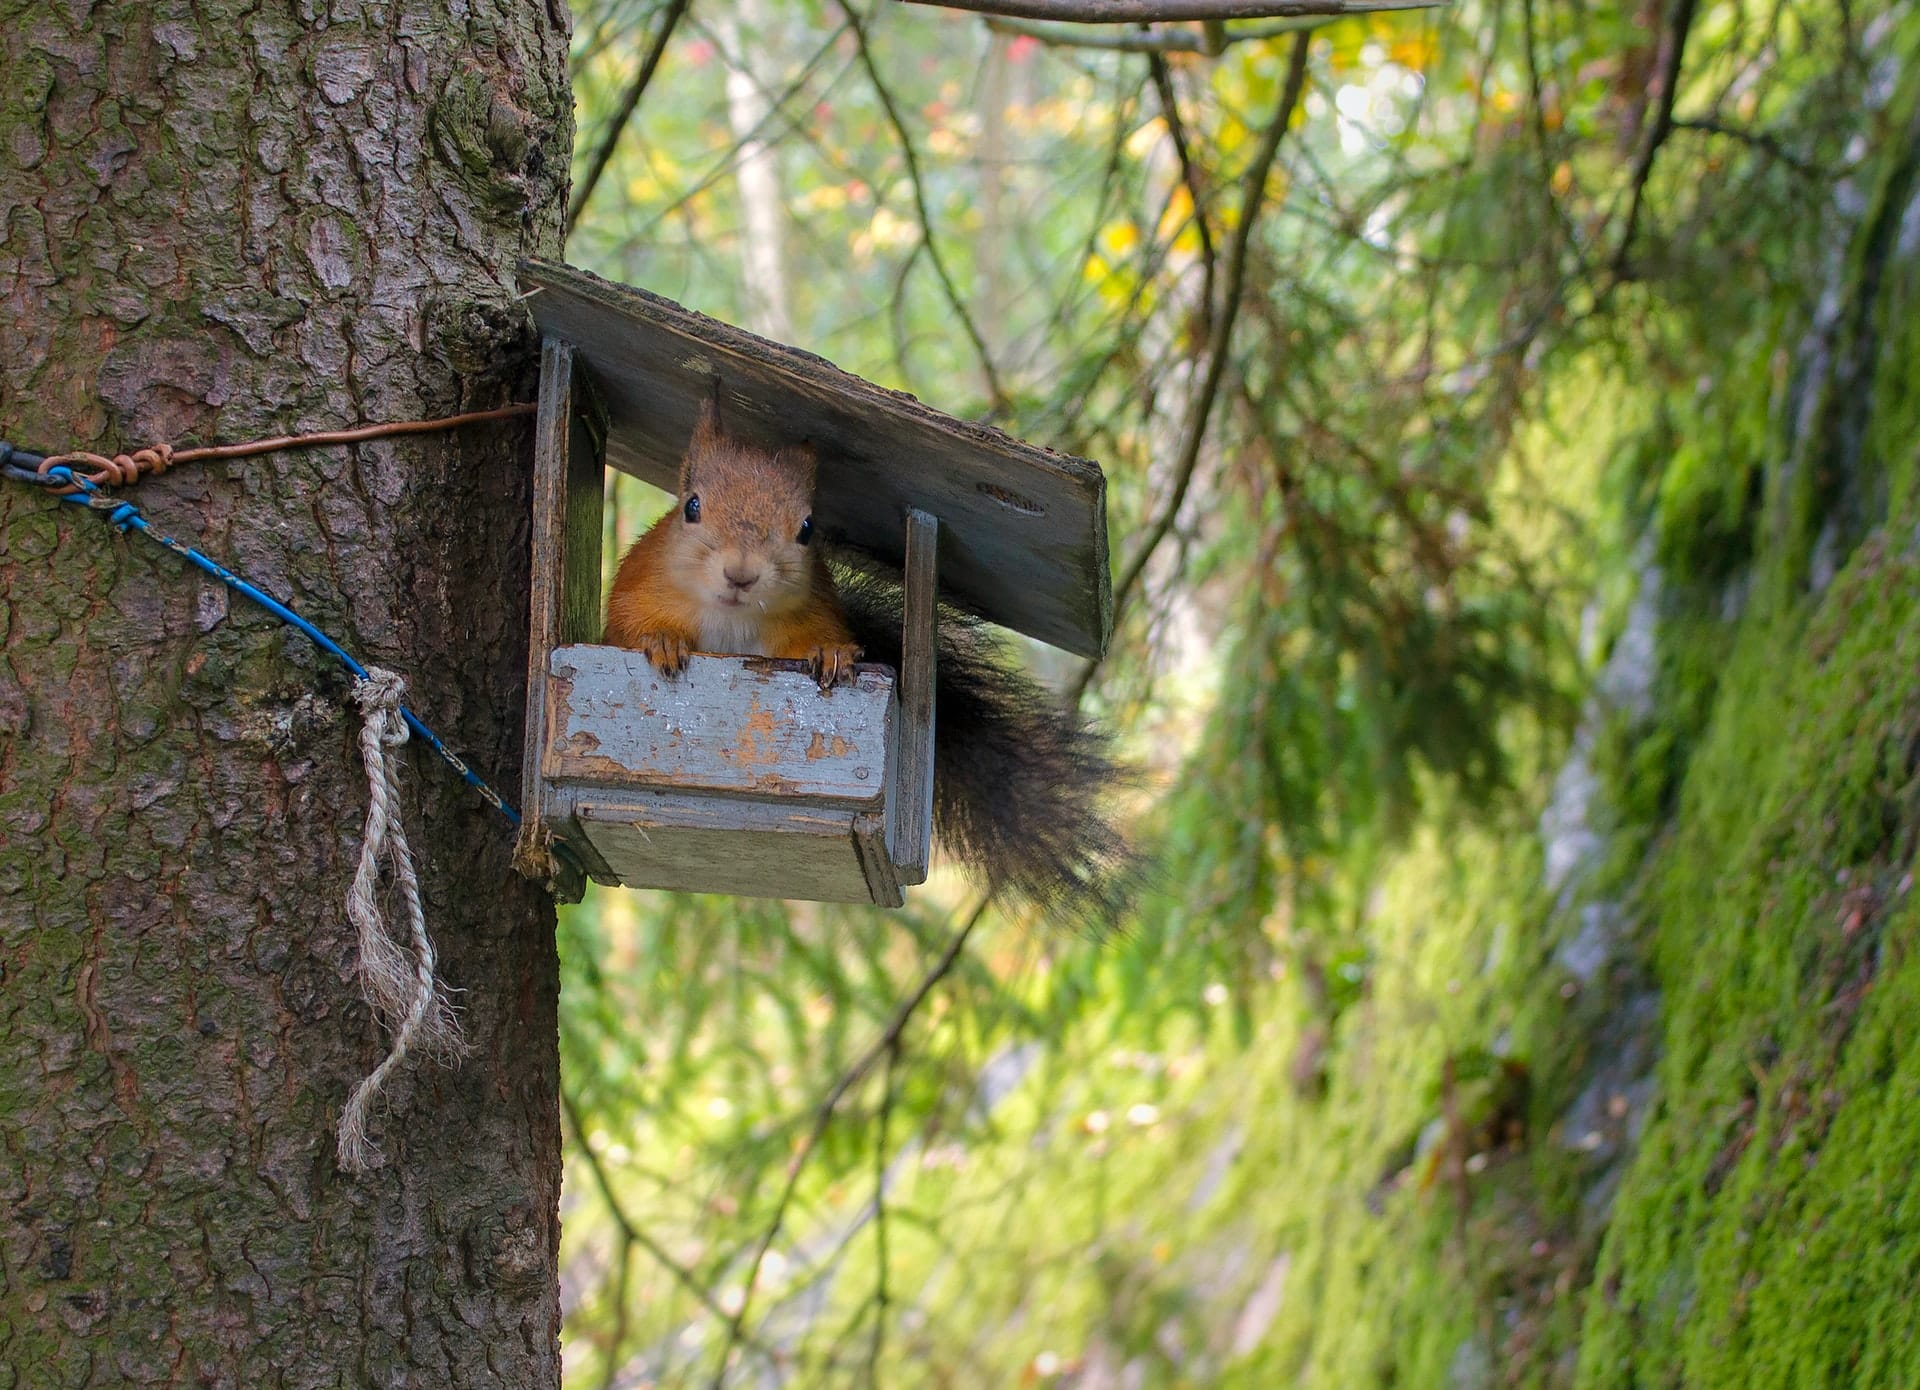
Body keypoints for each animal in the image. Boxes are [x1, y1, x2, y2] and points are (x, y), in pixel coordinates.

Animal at [603, 396, 1135, 927]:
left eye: (807, 529)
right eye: (691, 506)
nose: (741, 574)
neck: (730, 618)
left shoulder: (810, 614)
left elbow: (816, 642)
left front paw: (831, 653)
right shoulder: (636, 591)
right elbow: (627, 630)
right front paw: (663, 641)